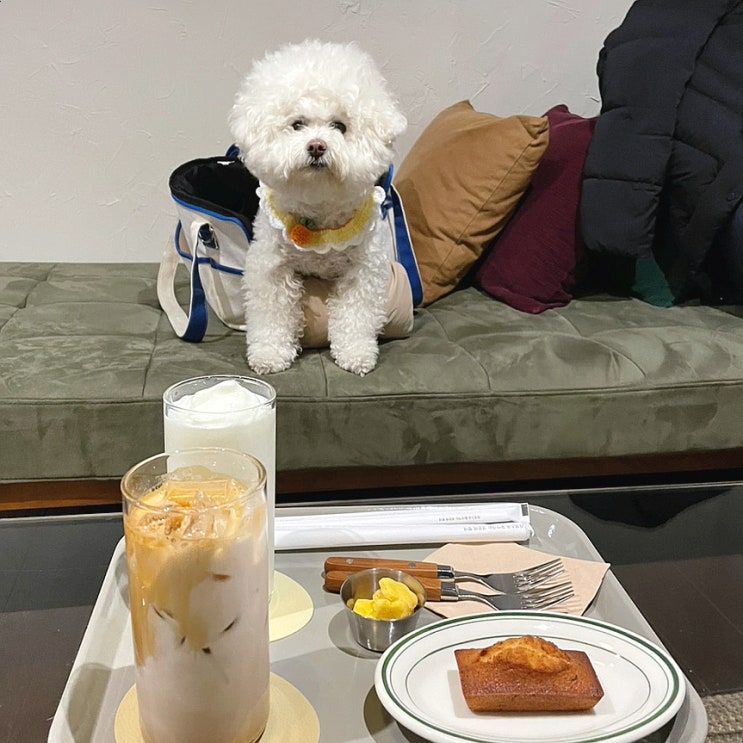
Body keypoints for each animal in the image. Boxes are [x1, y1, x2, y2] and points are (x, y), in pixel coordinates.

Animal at [228, 40, 407, 375]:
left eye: (340, 126)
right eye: (297, 124)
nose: (316, 146)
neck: (319, 209)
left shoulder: (362, 270)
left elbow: (356, 314)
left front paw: (356, 353)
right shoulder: (271, 267)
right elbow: (272, 313)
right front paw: (270, 354)